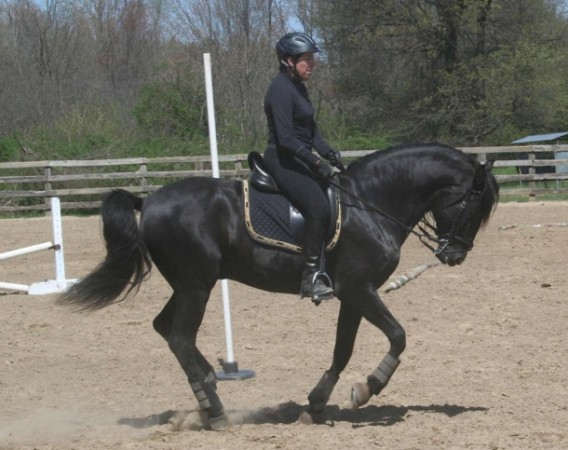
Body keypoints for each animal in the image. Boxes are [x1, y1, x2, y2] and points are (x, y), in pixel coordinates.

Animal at [60, 143, 500, 428]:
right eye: (473, 206)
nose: (455, 255)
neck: (369, 203)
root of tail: (148, 201)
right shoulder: (359, 289)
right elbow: (398, 335)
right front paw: (368, 387)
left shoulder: (353, 295)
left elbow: (343, 350)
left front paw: (317, 405)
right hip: (195, 286)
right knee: (181, 336)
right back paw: (215, 409)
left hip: (189, 286)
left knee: (165, 329)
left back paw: (208, 386)